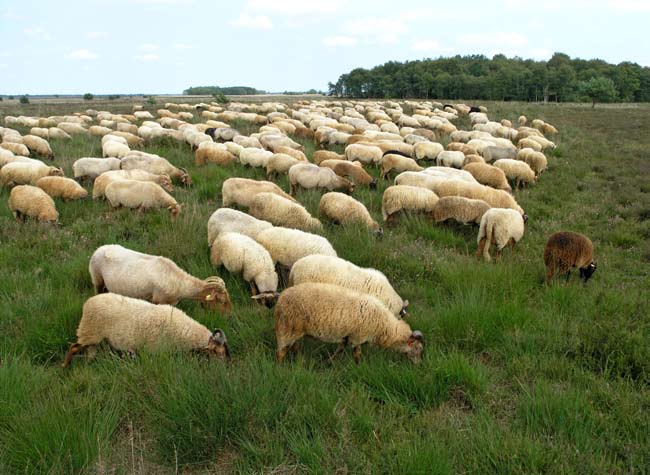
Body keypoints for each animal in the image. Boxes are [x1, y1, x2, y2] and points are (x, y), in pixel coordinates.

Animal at [88, 245, 230, 312]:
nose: (229, 315)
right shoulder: (159, 301)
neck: (180, 283)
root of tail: (99, 249)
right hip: (97, 279)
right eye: (222, 301)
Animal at [272, 282, 420, 364]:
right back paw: (280, 368)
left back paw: (298, 358)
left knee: (294, 345)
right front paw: (359, 367)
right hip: (287, 327)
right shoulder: (358, 336)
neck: (385, 326)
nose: (417, 365)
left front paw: (329, 361)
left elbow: (340, 349)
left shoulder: (346, 336)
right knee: (280, 352)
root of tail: (281, 298)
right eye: (418, 348)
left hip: (295, 328)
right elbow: (357, 354)